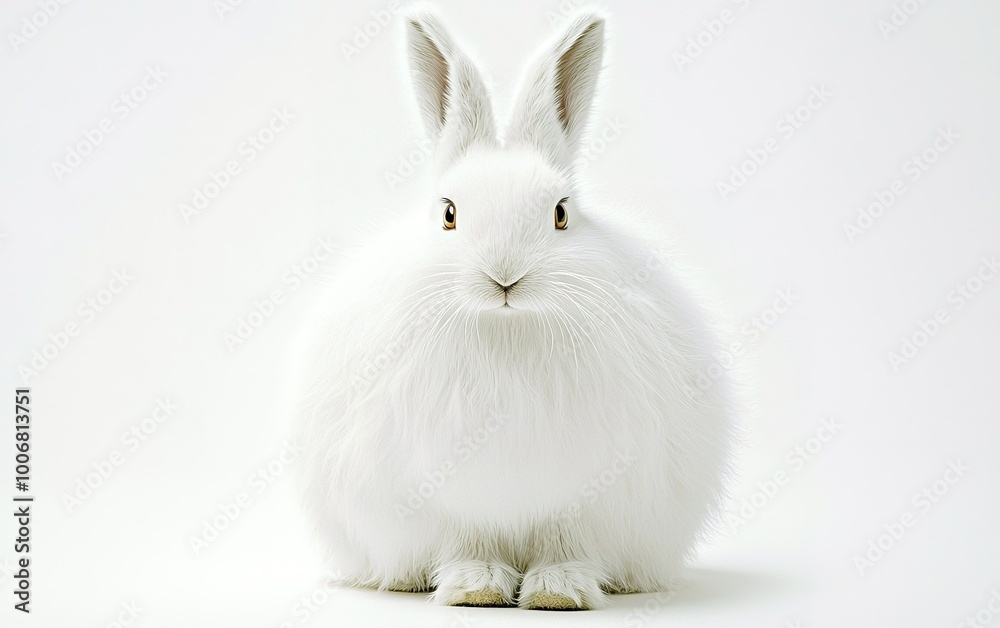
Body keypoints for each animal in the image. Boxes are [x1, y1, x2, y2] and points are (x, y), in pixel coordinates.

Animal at [294, 7, 734, 611]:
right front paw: (474, 588)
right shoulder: (450, 493)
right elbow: (469, 539)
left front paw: (559, 592)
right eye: (449, 213)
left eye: (561, 213)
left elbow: (563, 541)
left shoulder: (582, 494)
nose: (504, 276)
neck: (505, 327)